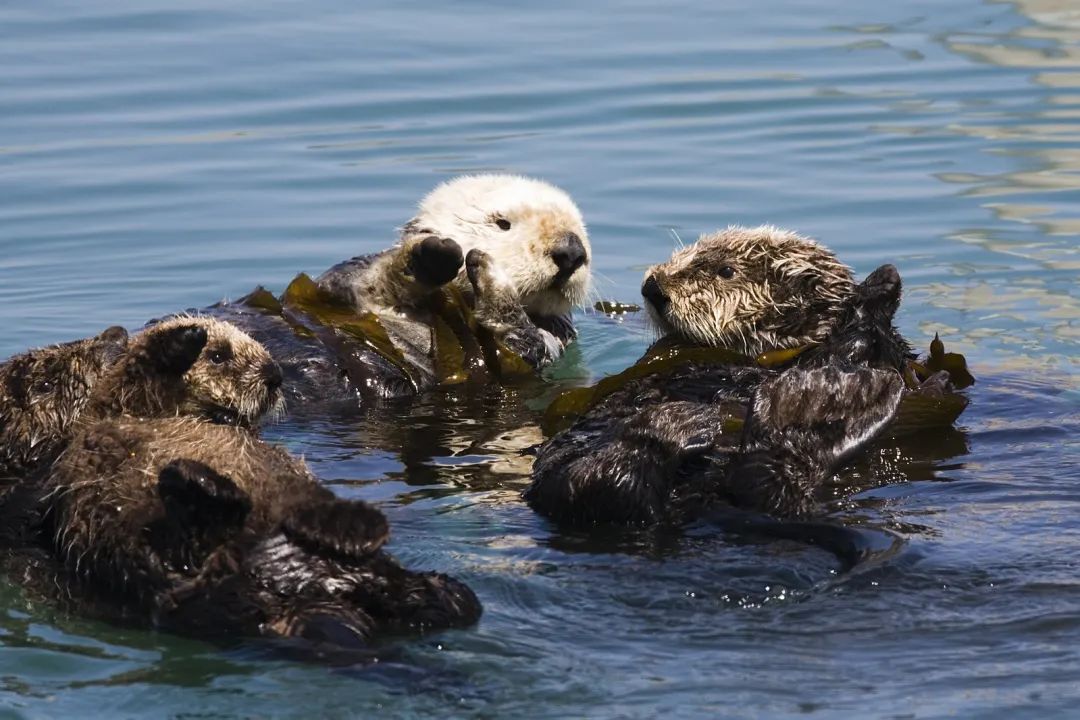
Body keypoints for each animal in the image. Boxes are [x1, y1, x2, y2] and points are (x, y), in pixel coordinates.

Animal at [203, 173, 591, 405]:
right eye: (502, 223)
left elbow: (518, 343)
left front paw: (492, 277)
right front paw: (431, 256)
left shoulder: (549, 342)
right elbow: (362, 279)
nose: (571, 251)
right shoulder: (342, 284)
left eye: (580, 227)